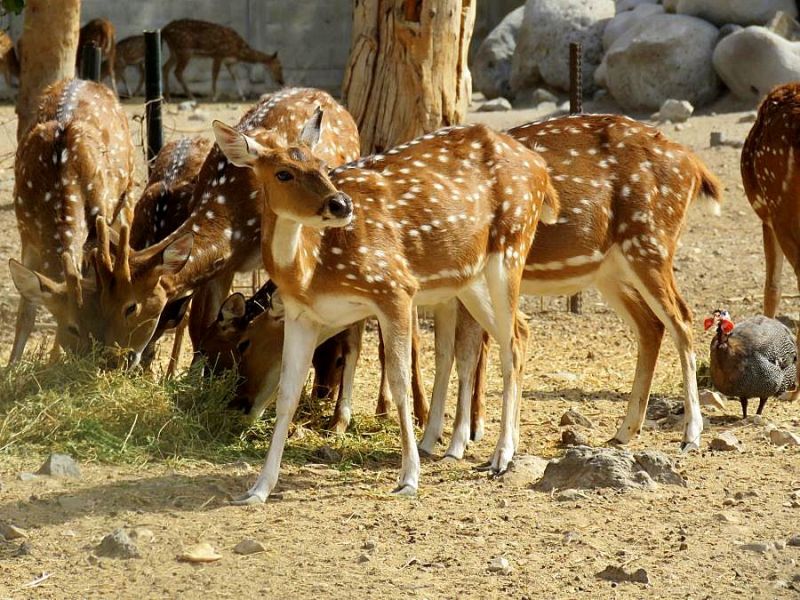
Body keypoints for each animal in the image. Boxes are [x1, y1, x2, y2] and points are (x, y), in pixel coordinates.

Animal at [7, 78, 134, 363]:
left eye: (100, 320)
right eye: (72, 327)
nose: (91, 359)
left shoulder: (98, 225)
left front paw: (53, 361)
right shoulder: (26, 232)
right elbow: (26, 310)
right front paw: (12, 366)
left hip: (126, 194)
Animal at [85, 88, 360, 369]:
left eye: (131, 307)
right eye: (102, 302)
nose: (114, 358)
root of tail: (328, 96)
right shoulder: (224, 267)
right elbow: (202, 326)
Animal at [211, 112, 560, 504]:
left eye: (322, 166)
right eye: (283, 173)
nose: (341, 205)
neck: (311, 271)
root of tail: (541, 168)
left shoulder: (394, 288)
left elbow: (400, 380)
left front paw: (409, 479)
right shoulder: (304, 316)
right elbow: (288, 393)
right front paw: (258, 489)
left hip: (511, 248)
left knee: (510, 342)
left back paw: (501, 455)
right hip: (470, 278)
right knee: (519, 330)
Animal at [417, 113, 723, 459]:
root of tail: (695, 167)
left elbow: (465, 357)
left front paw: (457, 443)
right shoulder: (445, 297)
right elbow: (443, 356)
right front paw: (429, 440)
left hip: (651, 243)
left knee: (682, 318)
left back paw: (690, 434)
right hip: (610, 270)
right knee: (651, 325)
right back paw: (624, 431)